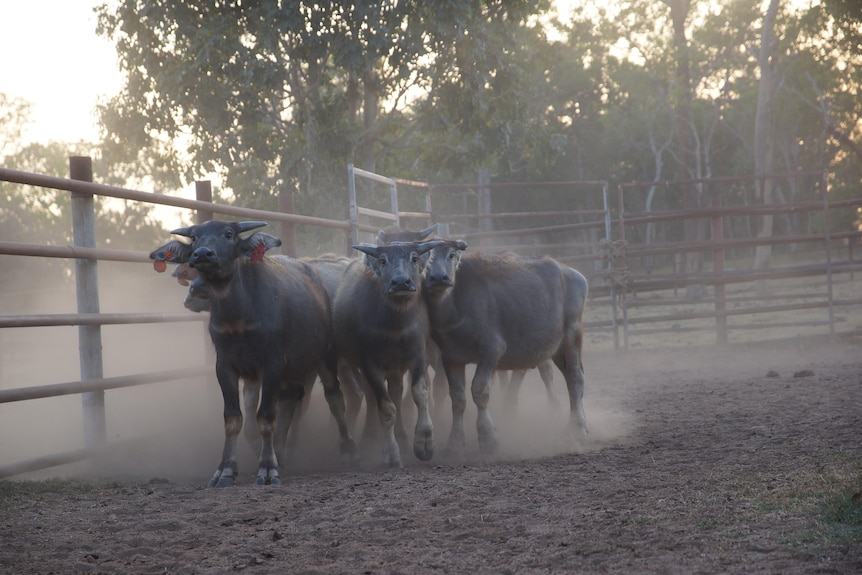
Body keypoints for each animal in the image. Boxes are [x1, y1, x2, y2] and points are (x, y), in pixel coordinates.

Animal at [152, 220, 358, 486]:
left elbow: (266, 417)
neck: (237, 317)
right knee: (290, 401)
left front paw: (267, 468)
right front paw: (225, 470)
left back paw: (348, 450)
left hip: (325, 357)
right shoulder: (227, 368)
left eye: (228, 234)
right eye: (195, 238)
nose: (203, 254)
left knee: (335, 399)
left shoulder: (272, 365)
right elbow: (233, 418)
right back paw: (280, 451)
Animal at [334, 238, 446, 468]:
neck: (395, 328)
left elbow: (420, 394)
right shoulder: (369, 363)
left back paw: (403, 439)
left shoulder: (418, 355)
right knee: (372, 397)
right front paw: (391, 454)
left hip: (396, 368)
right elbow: (386, 409)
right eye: (383, 260)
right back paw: (369, 439)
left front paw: (424, 442)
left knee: (396, 392)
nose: (401, 282)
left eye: (414, 258)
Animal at [424, 238, 592, 454]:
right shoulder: (450, 358)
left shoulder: (491, 350)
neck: (455, 306)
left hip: (572, 336)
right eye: (421, 257)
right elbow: (457, 398)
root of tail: (575, 275)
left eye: (451, 255)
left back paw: (577, 430)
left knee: (575, 378)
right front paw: (454, 442)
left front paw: (489, 438)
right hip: (555, 348)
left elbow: (480, 389)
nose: (438, 278)